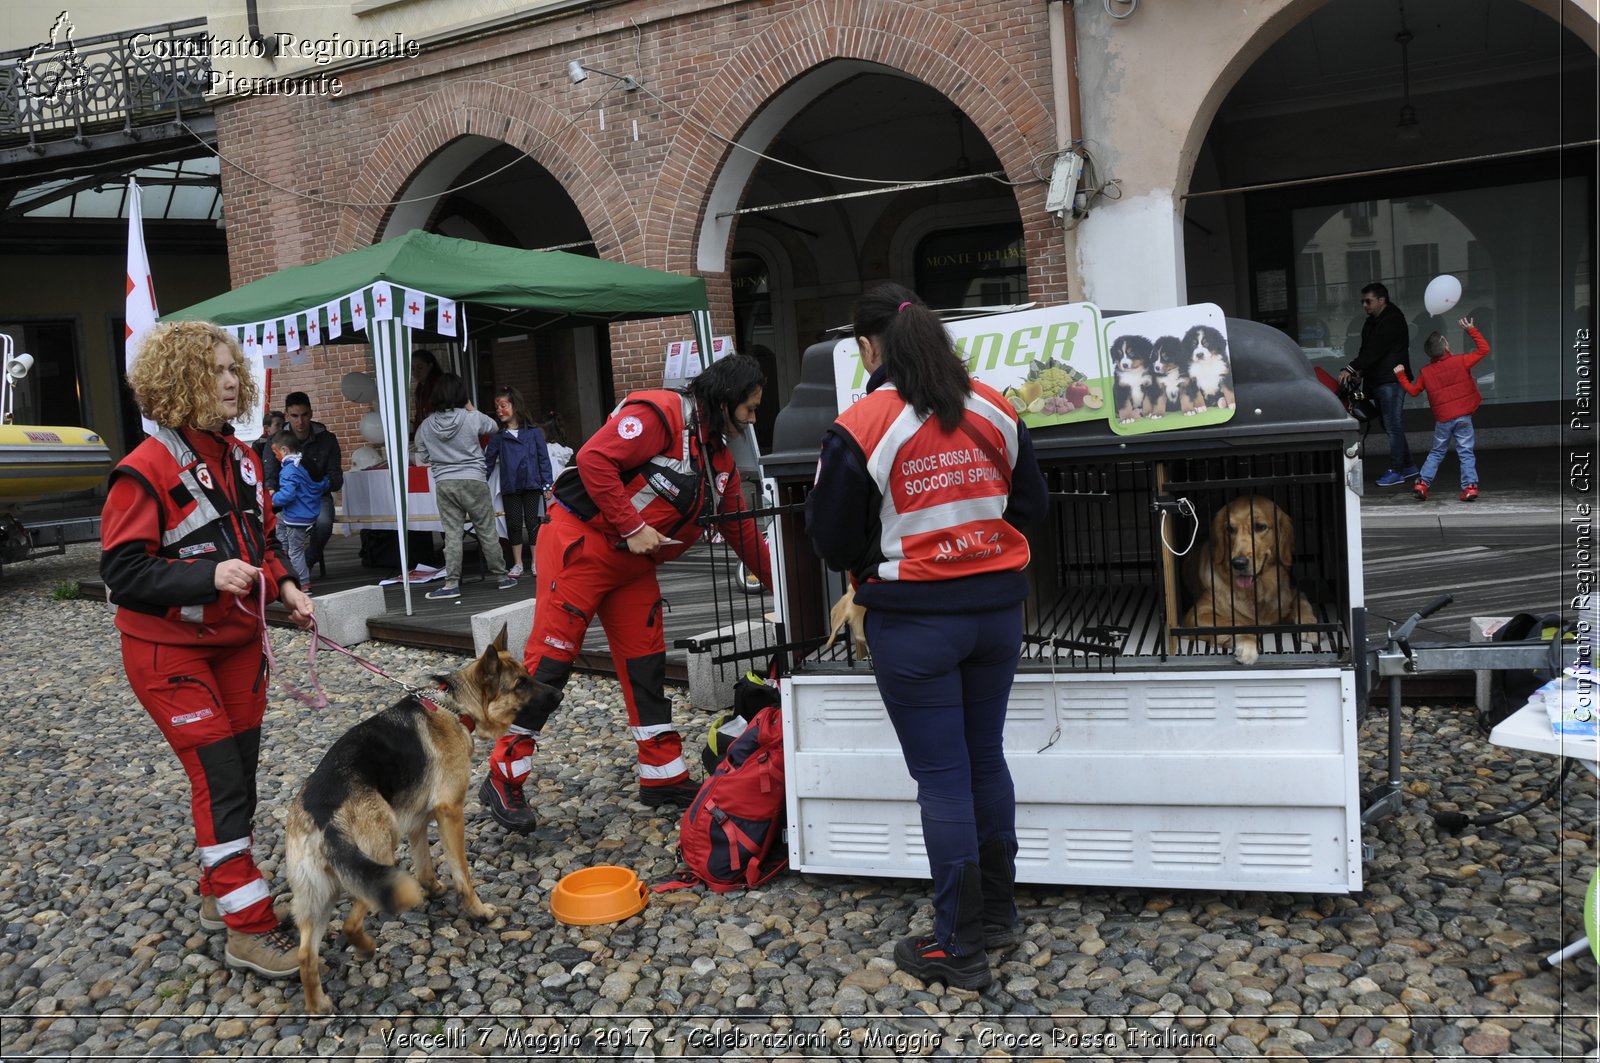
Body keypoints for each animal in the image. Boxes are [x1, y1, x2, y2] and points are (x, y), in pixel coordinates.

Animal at [284, 630, 560, 1011]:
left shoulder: (418, 821)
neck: (456, 707)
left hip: (317, 896)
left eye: (529, 676)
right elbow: (462, 872)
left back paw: (318, 1006)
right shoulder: (450, 812)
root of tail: (321, 812)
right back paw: (366, 949)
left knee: (305, 955)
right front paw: (477, 911)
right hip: (381, 856)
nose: (560, 694)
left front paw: (433, 888)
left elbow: (425, 863)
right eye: (520, 684)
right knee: (350, 925)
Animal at [1184, 493, 1318, 659]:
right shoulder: (1196, 615)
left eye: (1260, 527)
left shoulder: (1292, 593)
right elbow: (1237, 623)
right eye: (1230, 529)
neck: (1257, 590)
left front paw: (1310, 627)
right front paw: (1247, 645)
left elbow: (1303, 603)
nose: (1239, 563)